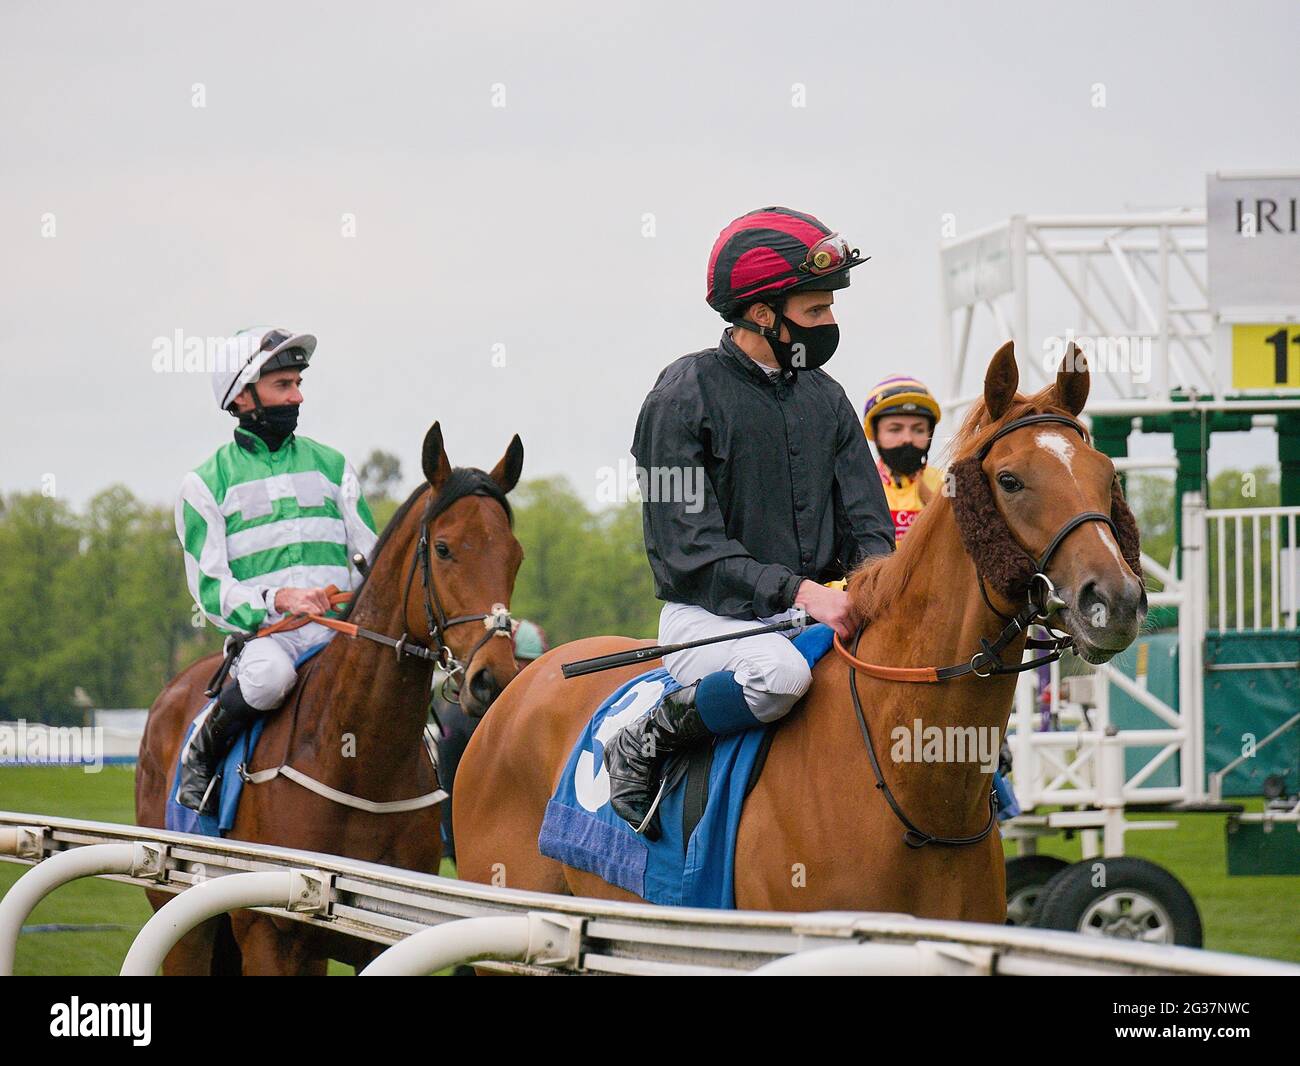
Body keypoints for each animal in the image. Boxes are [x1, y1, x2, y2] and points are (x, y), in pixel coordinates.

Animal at [135, 423, 522, 972]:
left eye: (515, 554)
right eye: (444, 549)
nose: (493, 679)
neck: (359, 763)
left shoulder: (378, 934)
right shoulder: (268, 934)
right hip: (182, 918)